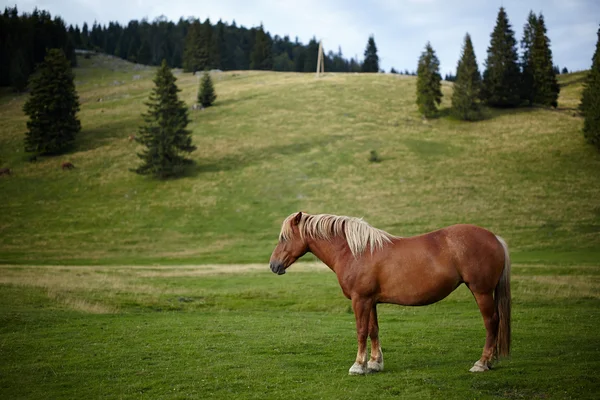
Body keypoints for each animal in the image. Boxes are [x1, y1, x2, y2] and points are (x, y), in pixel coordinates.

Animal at [270, 212, 508, 376]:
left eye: (284, 238)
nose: (273, 265)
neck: (356, 251)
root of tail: (495, 238)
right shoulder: (371, 301)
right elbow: (373, 330)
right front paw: (375, 363)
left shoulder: (360, 300)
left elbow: (361, 331)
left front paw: (358, 366)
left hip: (481, 292)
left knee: (491, 322)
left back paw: (482, 363)